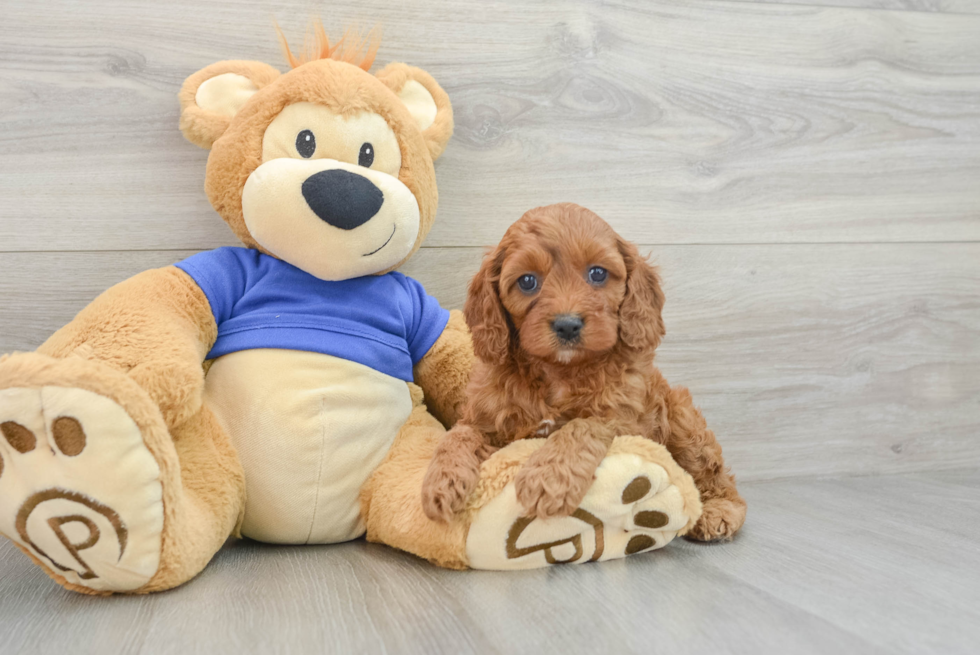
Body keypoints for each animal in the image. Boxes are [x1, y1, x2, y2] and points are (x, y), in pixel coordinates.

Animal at [418, 202, 748, 540]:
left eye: (598, 273)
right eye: (527, 281)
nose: (568, 325)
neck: (559, 370)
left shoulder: (623, 418)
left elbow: (581, 426)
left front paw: (547, 480)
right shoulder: (484, 416)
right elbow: (457, 436)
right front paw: (440, 483)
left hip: (681, 418)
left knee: (712, 472)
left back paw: (718, 511)